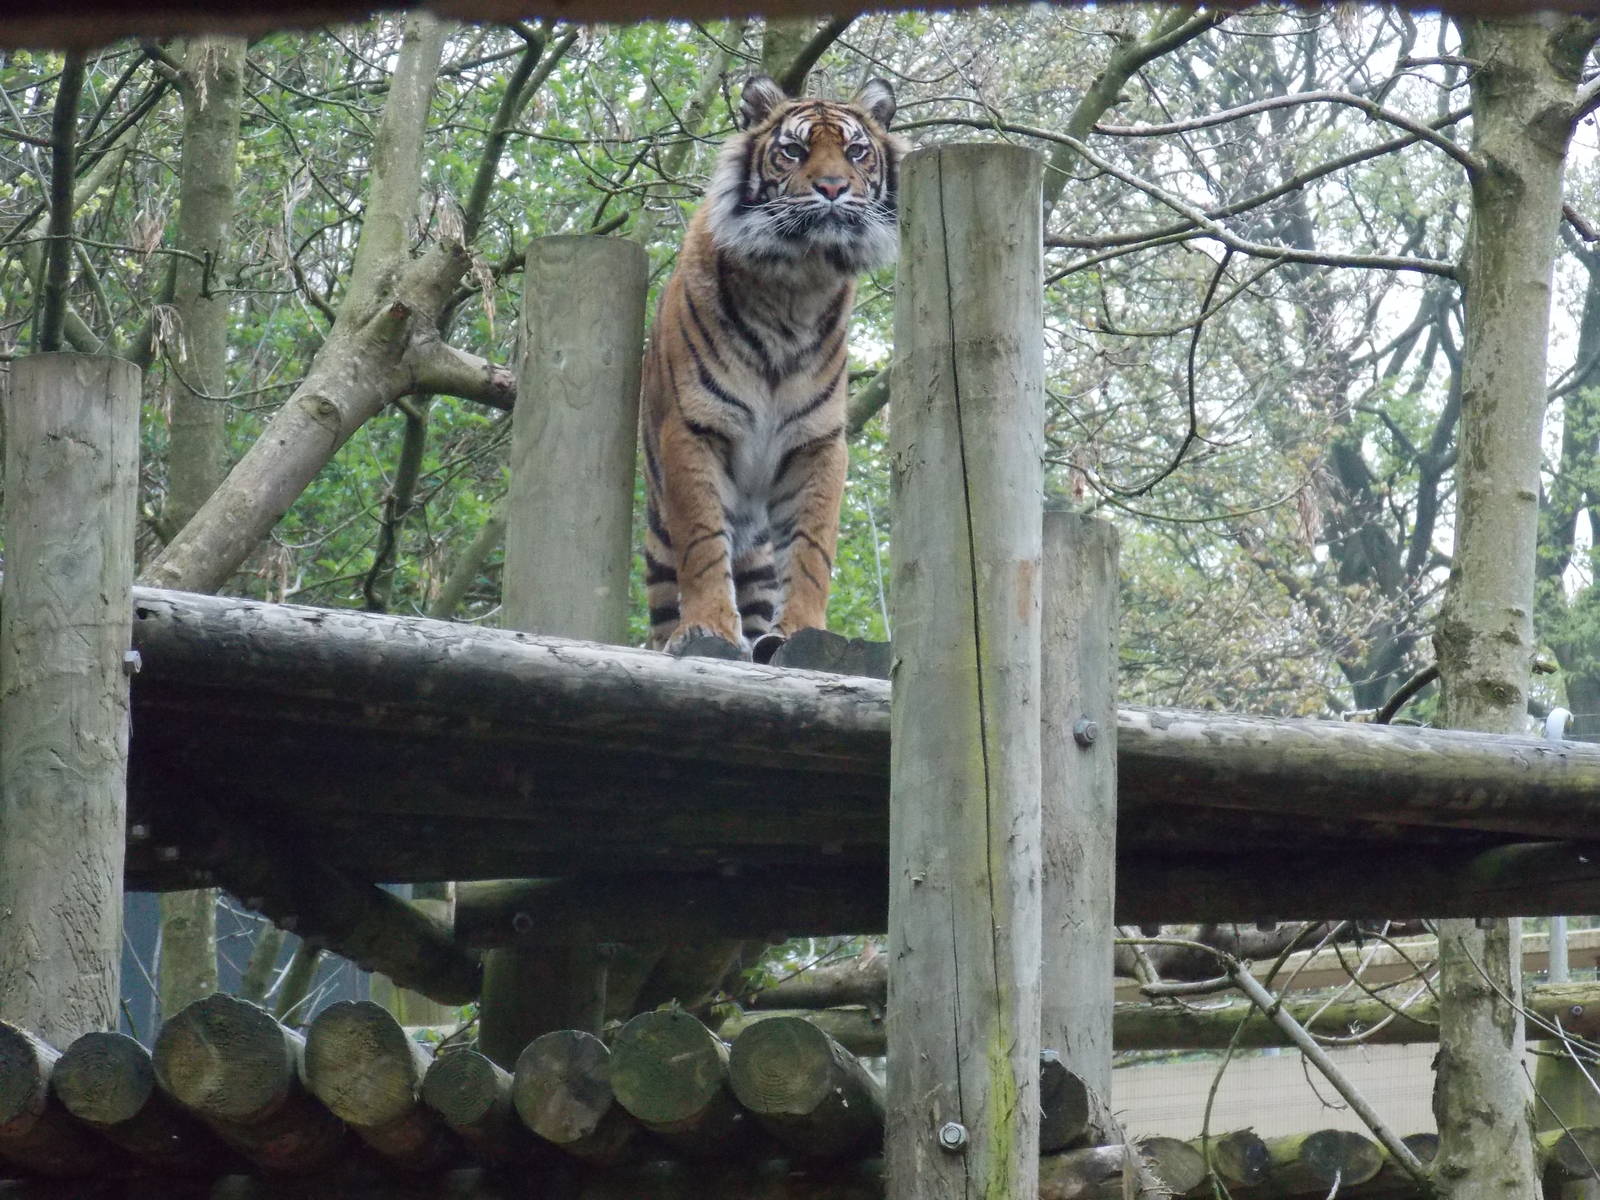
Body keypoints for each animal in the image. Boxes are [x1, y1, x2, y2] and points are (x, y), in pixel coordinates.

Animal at [640, 74, 907, 656]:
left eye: (856, 152)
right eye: (794, 151)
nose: (832, 188)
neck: (796, 284)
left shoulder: (816, 443)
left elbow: (811, 550)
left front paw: (800, 631)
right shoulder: (693, 429)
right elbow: (702, 543)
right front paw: (708, 627)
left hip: (759, 551)